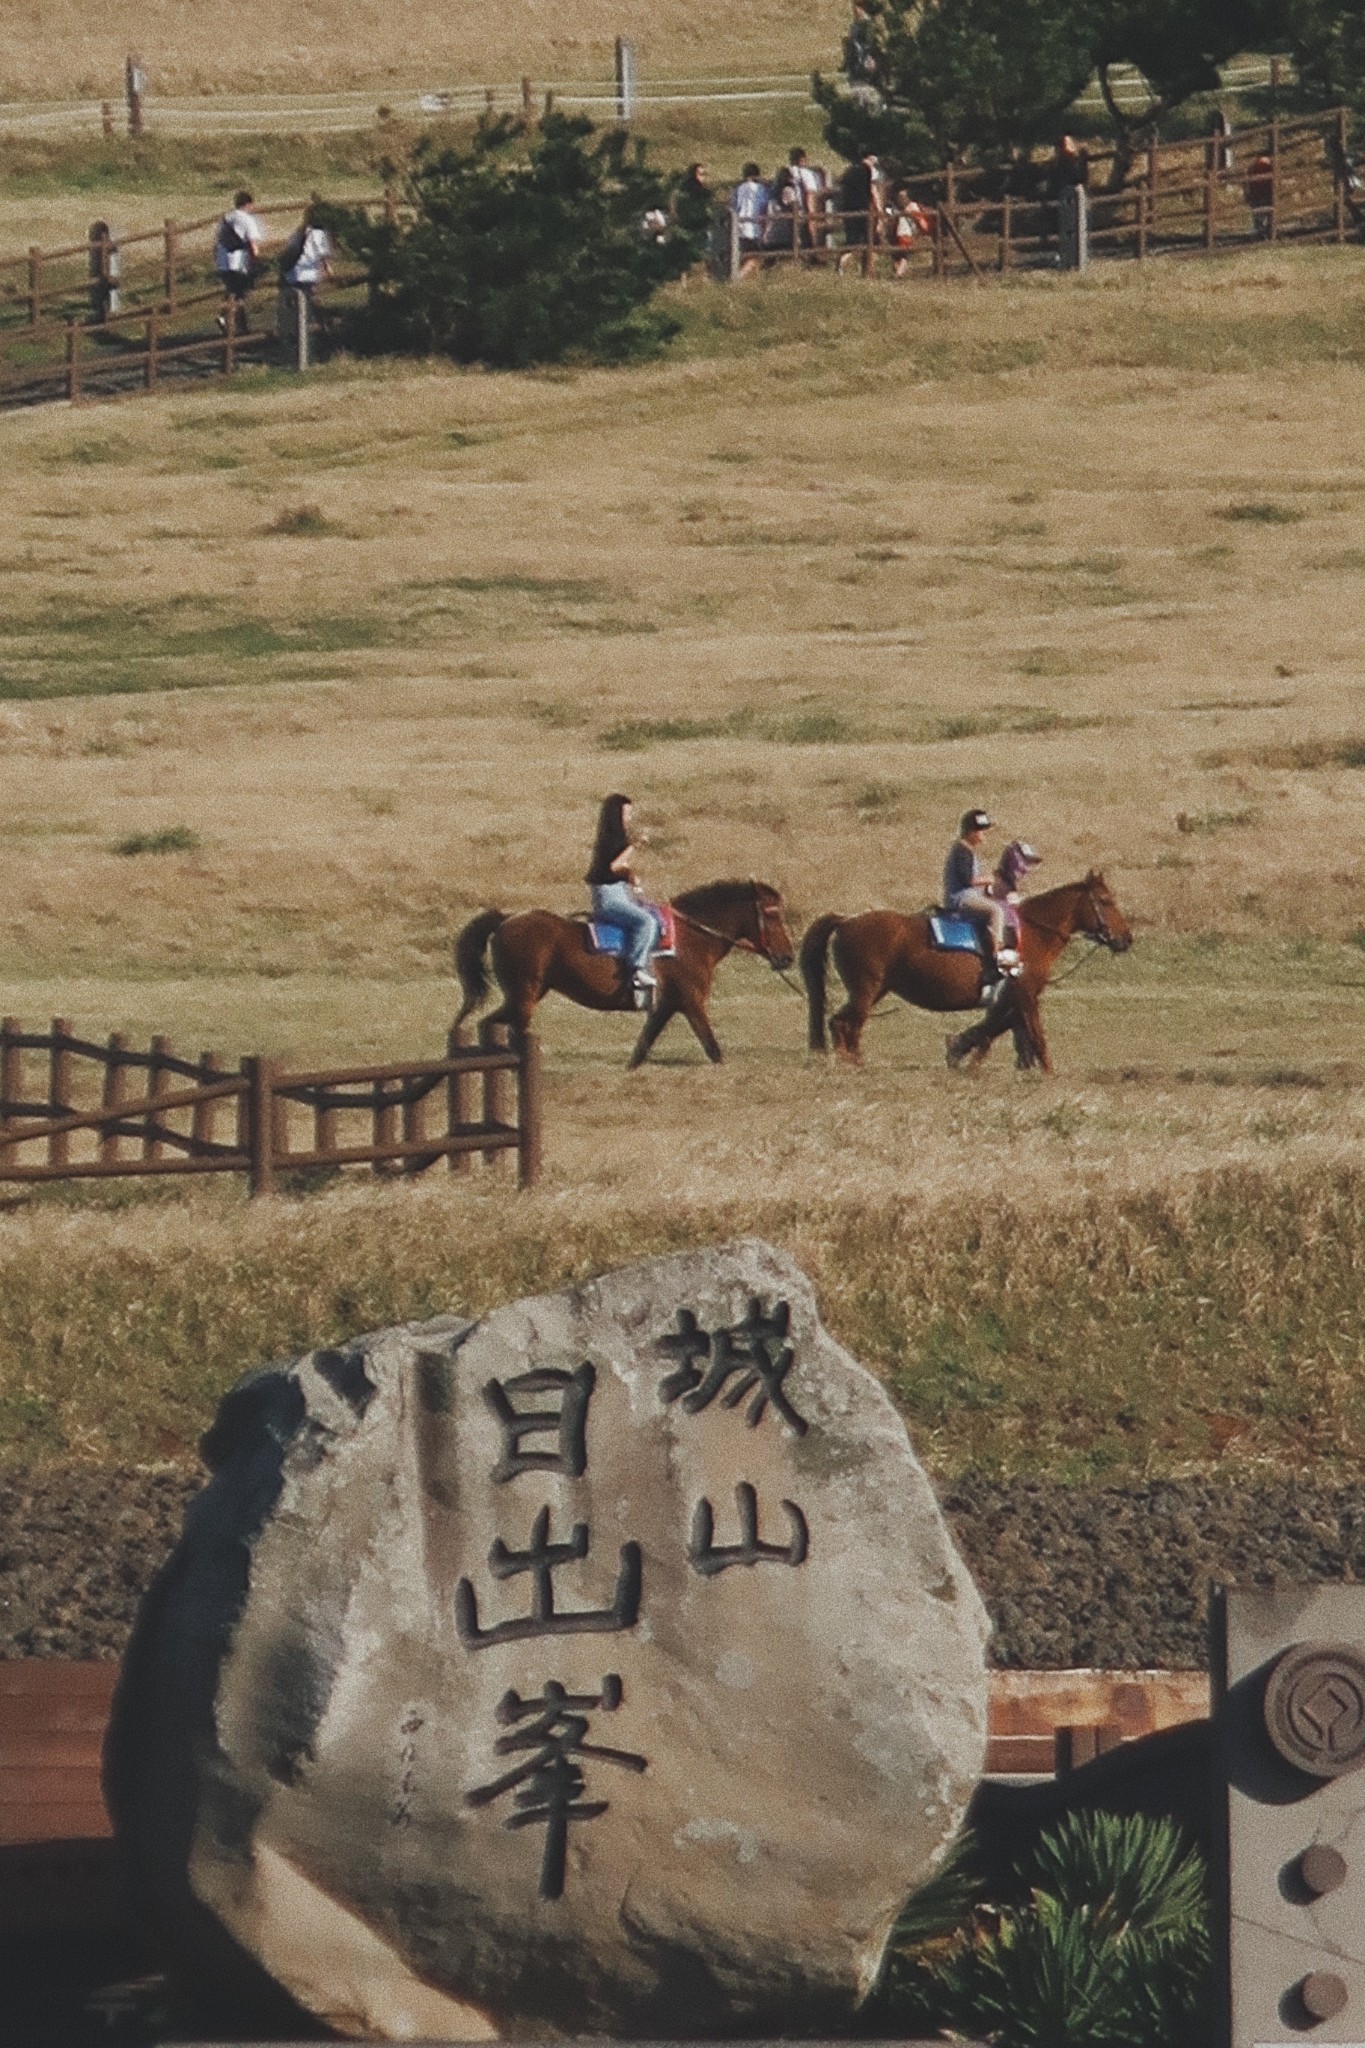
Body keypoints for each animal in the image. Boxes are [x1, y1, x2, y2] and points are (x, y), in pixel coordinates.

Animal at [458, 880, 802, 1073]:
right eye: (771, 914)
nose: (787, 957)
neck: (689, 938)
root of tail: (506, 920)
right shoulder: (692, 1003)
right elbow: (712, 1047)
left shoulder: (666, 1006)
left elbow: (641, 1048)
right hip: (524, 998)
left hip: (523, 997)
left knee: (488, 1024)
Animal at [802, 872, 1129, 1081]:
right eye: (1106, 900)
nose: (1126, 938)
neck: (1030, 934)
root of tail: (847, 919)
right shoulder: (1025, 995)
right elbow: (1034, 1033)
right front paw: (1048, 1072)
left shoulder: (1009, 998)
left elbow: (995, 1028)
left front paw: (962, 1052)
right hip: (866, 990)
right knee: (845, 1023)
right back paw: (853, 1063)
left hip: (875, 990)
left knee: (843, 1023)